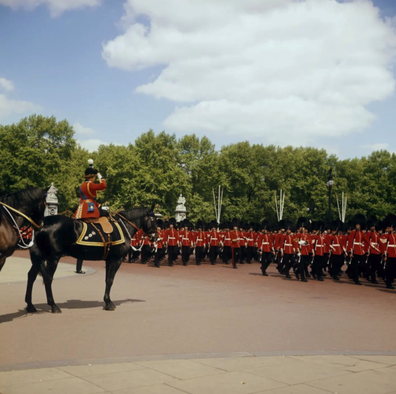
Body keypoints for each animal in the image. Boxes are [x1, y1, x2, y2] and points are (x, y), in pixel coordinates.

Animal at [24, 206, 158, 314]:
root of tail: (41, 224)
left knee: (31, 276)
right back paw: (53, 305)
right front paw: (109, 303)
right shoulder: (116, 259)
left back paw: (30, 305)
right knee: (48, 278)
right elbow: (110, 280)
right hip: (53, 258)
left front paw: (107, 301)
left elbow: (107, 280)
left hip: (40, 258)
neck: (123, 227)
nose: (156, 237)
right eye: (153, 220)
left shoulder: (109, 260)